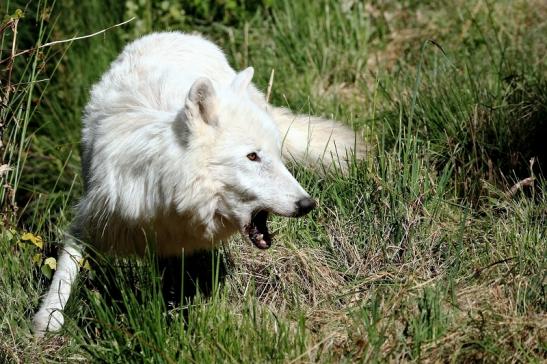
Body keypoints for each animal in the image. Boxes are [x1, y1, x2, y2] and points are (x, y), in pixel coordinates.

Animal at [31, 31, 364, 336]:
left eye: (276, 156)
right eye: (252, 156)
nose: (307, 204)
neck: (168, 194)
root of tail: (178, 33)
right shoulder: (92, 215)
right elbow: (65, 268)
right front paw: (47, 321)